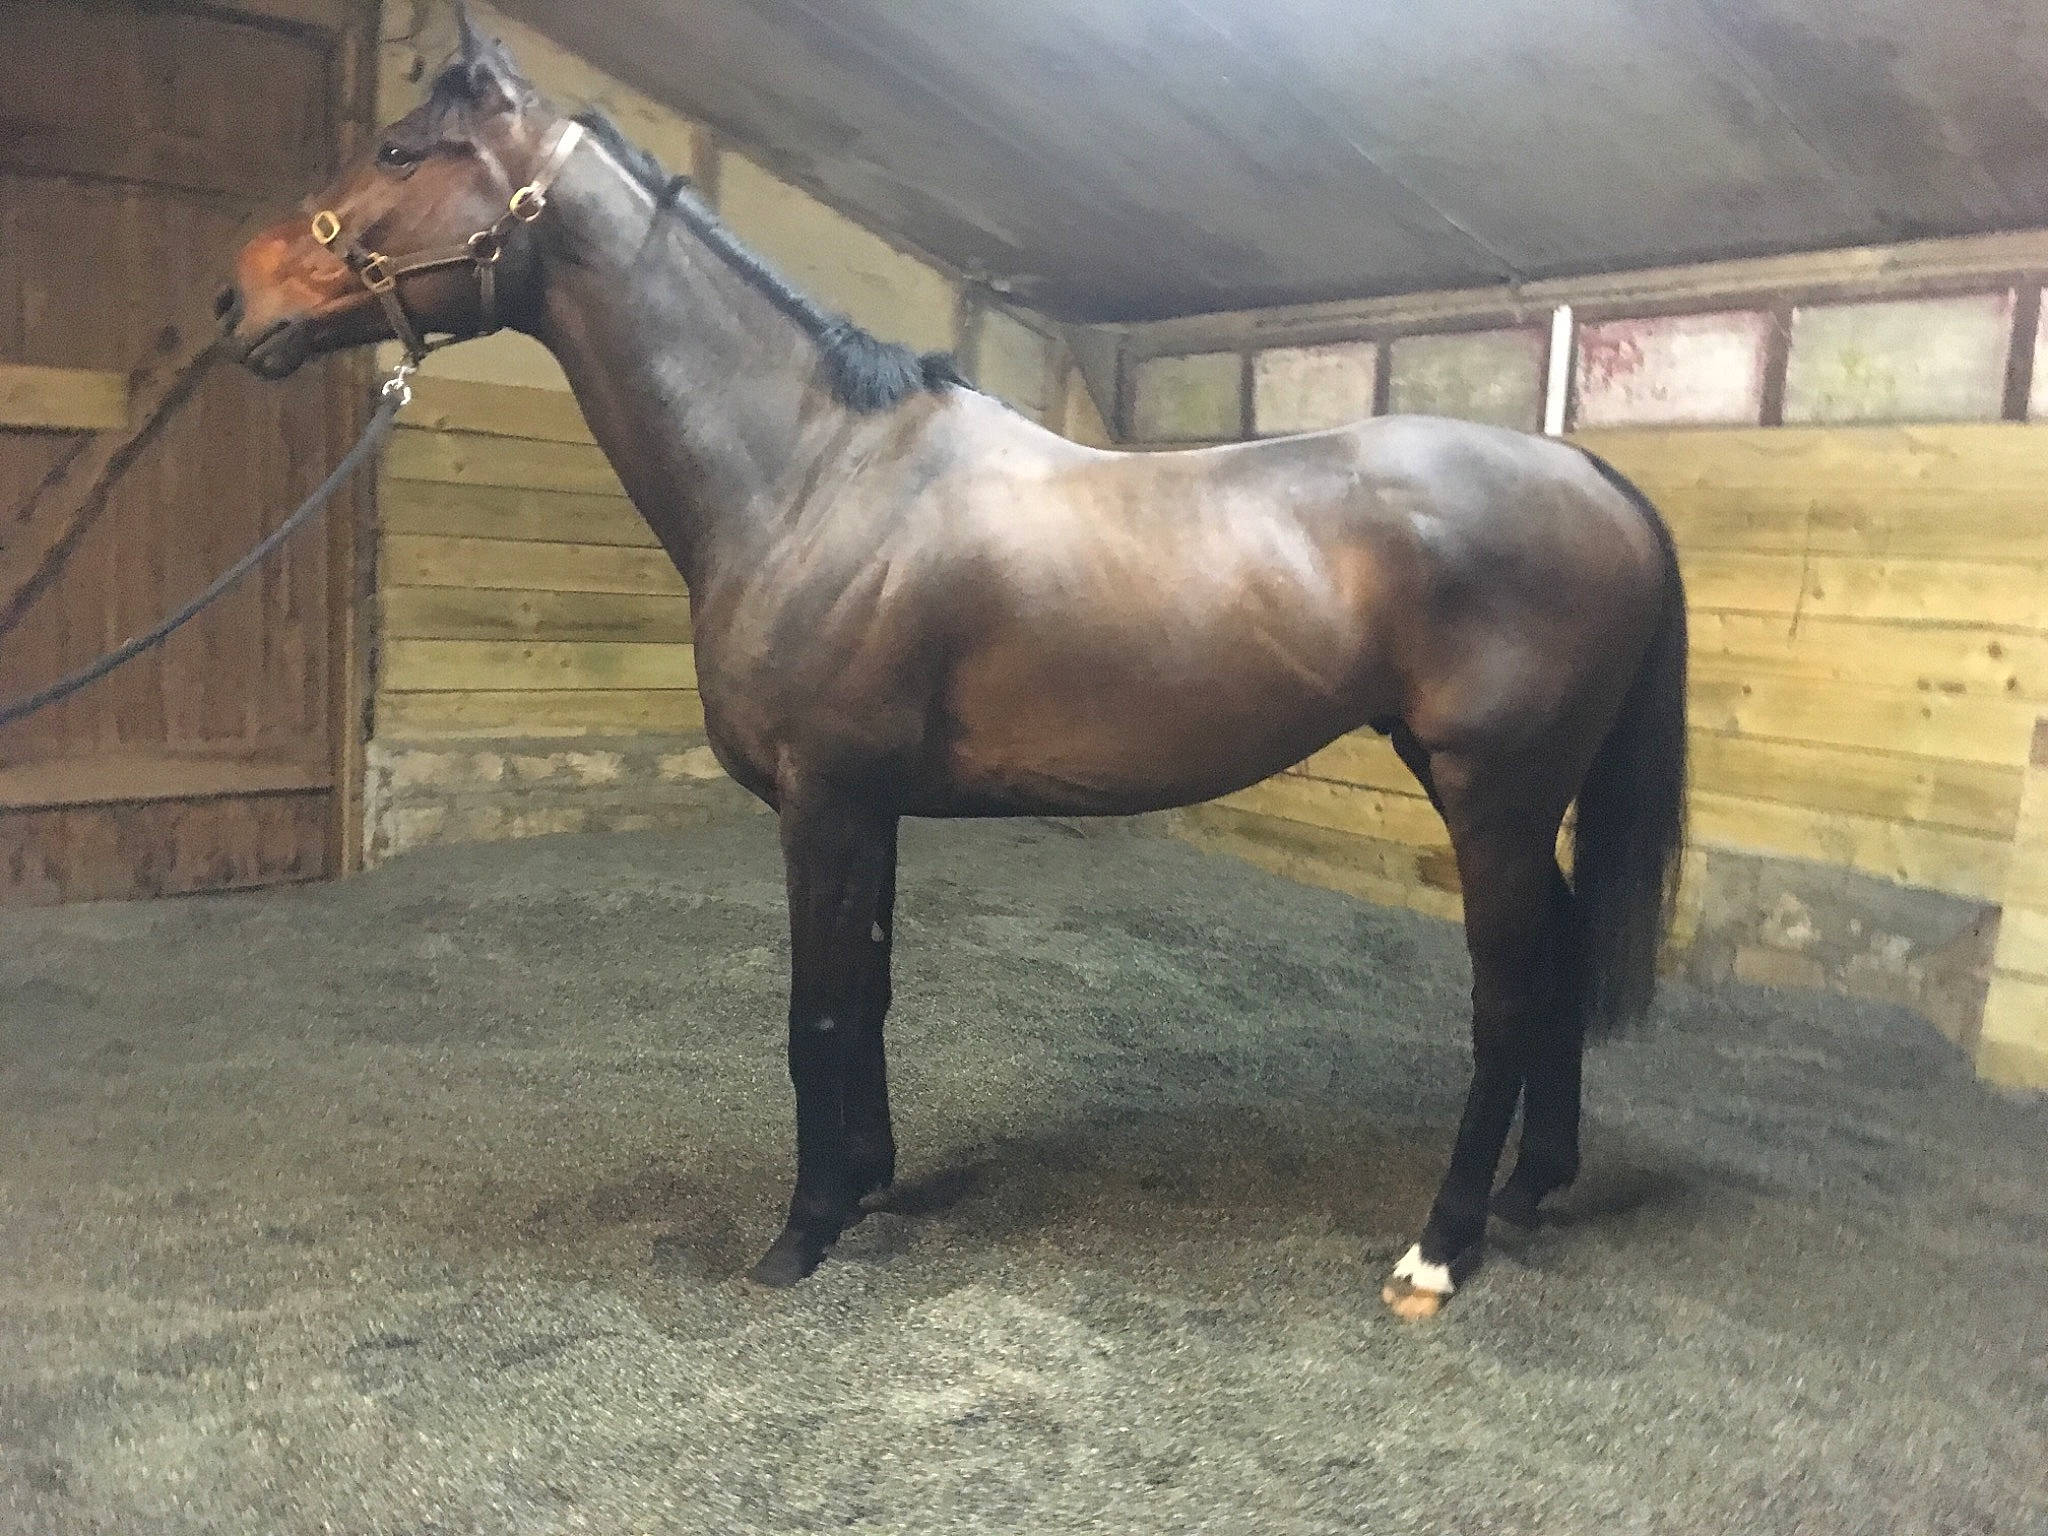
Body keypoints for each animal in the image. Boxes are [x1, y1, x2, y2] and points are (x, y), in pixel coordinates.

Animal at [218, 16, 1686, 1318]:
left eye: (400, 149)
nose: (239, 298)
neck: (809, 472)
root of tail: (1595, 478)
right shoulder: (868, 805)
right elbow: (866, 994)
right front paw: (869, 1187)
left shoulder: (824, 796)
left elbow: (816, 1014)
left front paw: (800, 1236)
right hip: (1487, 791)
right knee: (1555, 960)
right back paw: (1530, 1190)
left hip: (1491, 795)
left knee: (1507, 995)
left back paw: (1438, 1250)